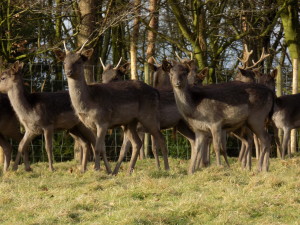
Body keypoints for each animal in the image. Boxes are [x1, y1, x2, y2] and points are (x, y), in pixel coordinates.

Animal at [53, 43, 170, 174]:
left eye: (78, 61)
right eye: (64, 62)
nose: (68, 72)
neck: (88, 103)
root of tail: (156, 92)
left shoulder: (102, 121)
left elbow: (98, 148)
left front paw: (97, 170)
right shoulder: (91, 126)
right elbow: (99, 147)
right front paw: (107, 171)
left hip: (148, 115)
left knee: (161, 138)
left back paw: (166, 168)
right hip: (130, 122)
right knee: (137, 143)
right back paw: (127, 171)